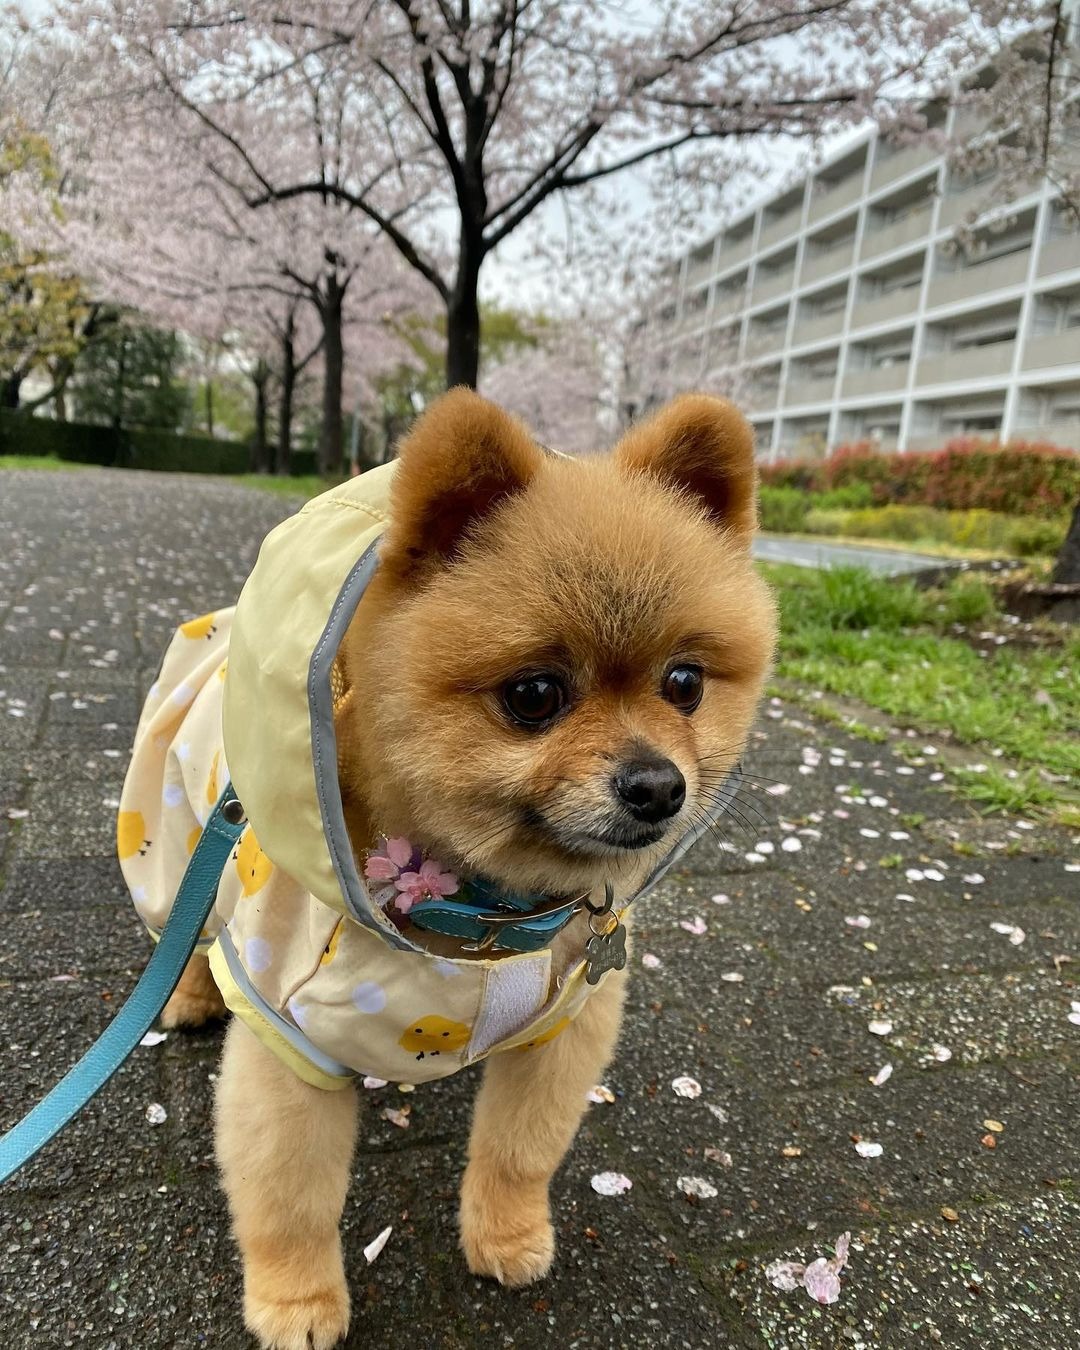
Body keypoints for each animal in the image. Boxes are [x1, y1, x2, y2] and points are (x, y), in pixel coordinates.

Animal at [162, 386, 777, 1344]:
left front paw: (507, 1235)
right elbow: (289, 1196)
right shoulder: (286, 1041)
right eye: (534, 695)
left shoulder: (565, 1028)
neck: (485, 920)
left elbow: (521, 1149)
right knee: (190, 930)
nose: (658, 786)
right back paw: (189, 995)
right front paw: (297, 1301)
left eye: (685, 684)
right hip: (178, 844)